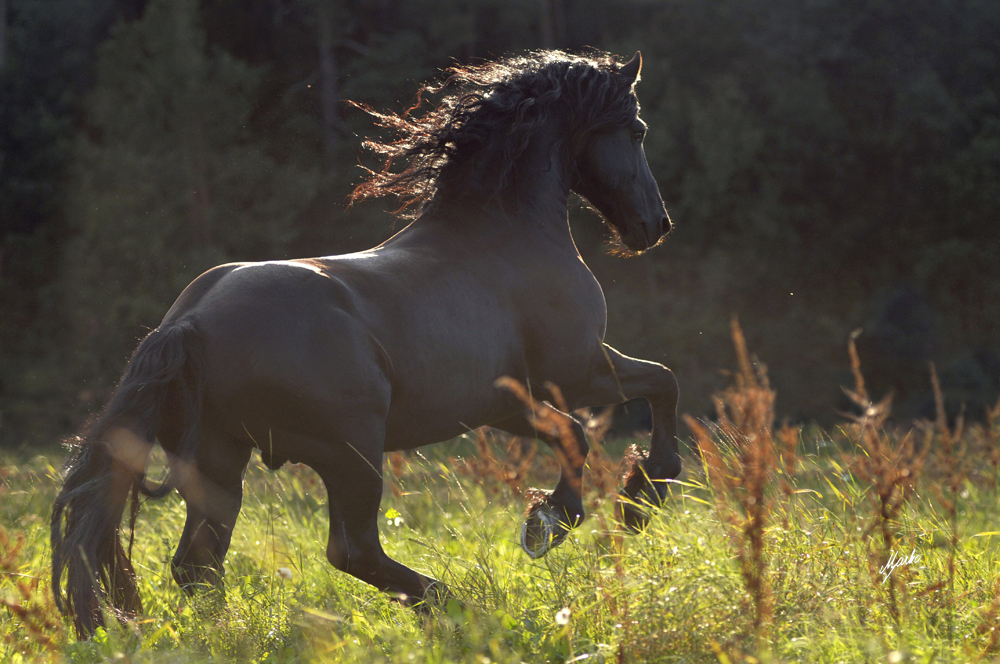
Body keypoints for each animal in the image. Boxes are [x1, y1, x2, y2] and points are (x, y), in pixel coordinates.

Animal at [52, 49, 680, 636]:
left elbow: (573, 433)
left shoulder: (502, 403)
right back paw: (454, 605)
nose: (655, 226)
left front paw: (554, 517)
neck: (508, 234)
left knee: (198, 563)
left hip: (220, 458)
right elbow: (659, 383)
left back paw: (231, 633)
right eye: (639, 130)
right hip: (350, 451)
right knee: (350, 549)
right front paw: (635, 500)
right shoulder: (580, 369)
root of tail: (189, 324)